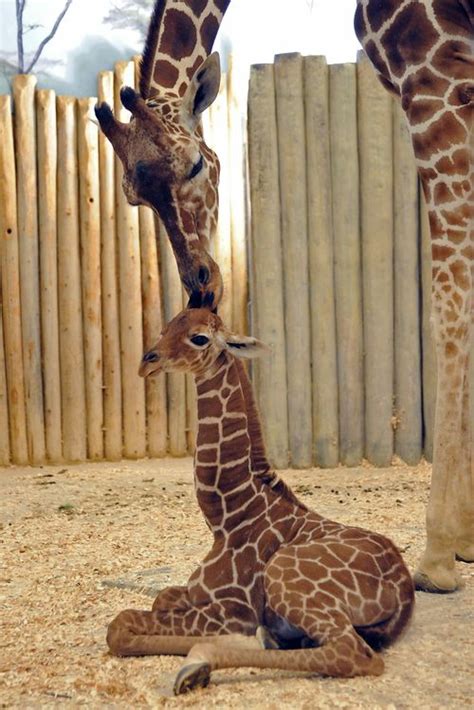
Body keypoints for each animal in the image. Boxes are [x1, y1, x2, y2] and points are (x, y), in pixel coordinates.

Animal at [94, 0, 472, 596]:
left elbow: (453, 296)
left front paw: (439, 555)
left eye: (196, 164)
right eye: (134, 197)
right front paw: (465, 540)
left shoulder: (436, 76)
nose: (202, 280)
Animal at [105, 298, 412, 696]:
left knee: (352, 653)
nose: (148, 362)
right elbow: (154, 600)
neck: (228, 516)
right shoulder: (195, 593)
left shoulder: (232, 610)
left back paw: (202, 663)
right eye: (165, 327)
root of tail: (404, 594)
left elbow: (120, 625)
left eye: (199, 337)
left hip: (286, 577)